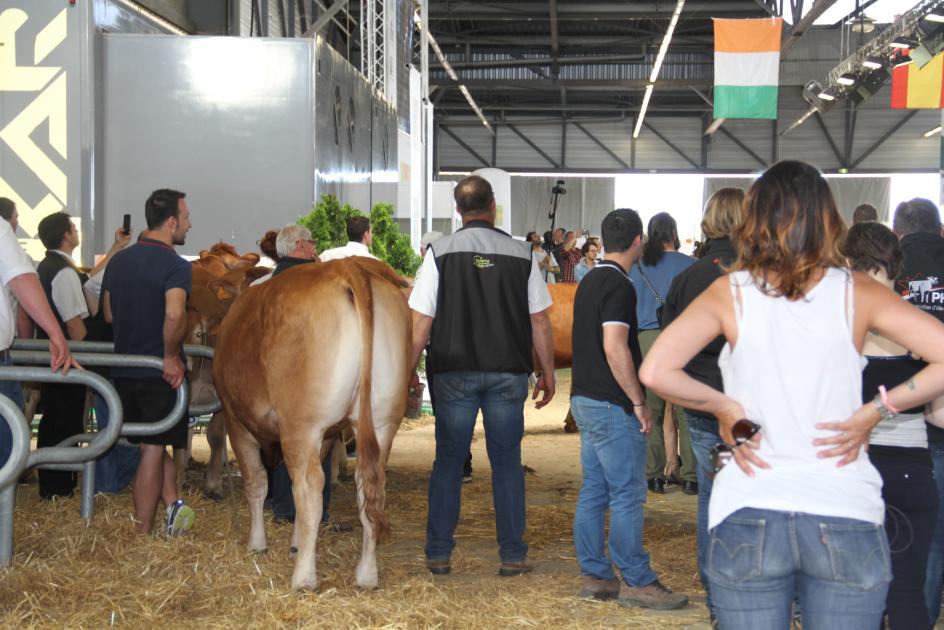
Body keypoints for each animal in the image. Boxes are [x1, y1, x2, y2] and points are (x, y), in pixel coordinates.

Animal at [216, 258, 412, 592]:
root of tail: (347, 266)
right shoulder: (329, 434)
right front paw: (294, 543)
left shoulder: (235, 419)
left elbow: (256, 483)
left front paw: (257, 544)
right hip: (383, 421)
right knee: (369, 488)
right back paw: (366, 575)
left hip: (301, 425)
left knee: (309, 489)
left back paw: (304, 578)